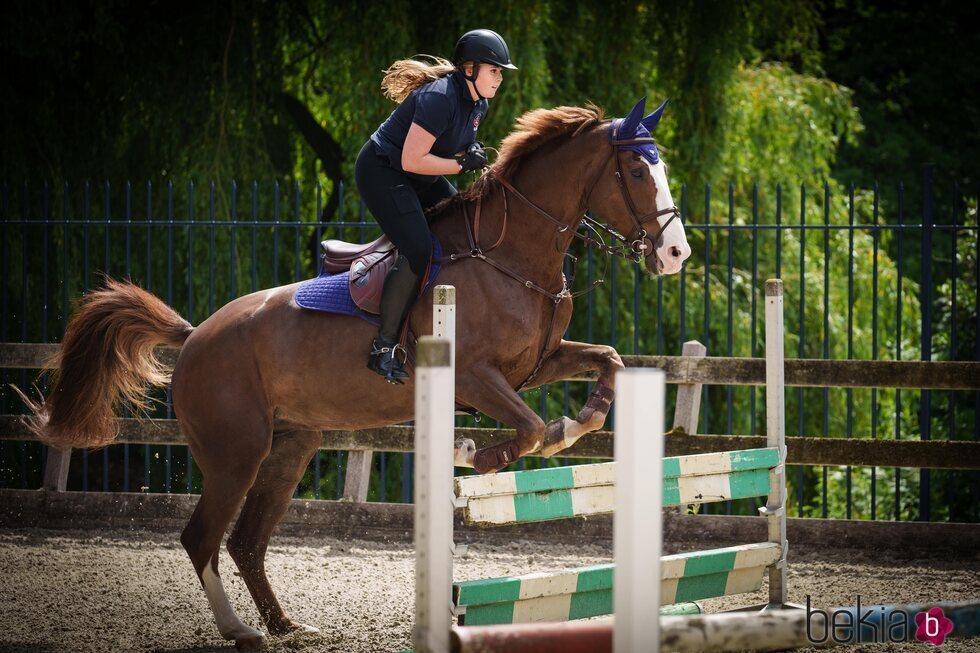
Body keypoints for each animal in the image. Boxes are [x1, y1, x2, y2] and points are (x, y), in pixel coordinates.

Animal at [23, 97, 688, 648]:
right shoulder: (476, 378)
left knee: (245, 541)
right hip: (236, 453)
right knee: (202, 539)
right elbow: (528, 430)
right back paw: (241, 630)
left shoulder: (537, 363)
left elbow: (606, 362)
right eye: (636, 172)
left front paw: (582, 420)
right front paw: (475, 453)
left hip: (290, 446)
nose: (676, 253)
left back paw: (286, 624)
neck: (511, 254)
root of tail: (194, 339)